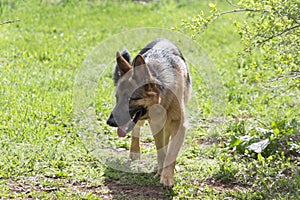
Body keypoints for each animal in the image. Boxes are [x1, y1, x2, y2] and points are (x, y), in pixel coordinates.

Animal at [106, 38, 191, 187]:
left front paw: (167, 176)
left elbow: (172, 150)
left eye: (131, 99)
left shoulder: (179, 124)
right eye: (117, 98)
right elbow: (160, 149)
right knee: (136, 130)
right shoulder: (155, 123)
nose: (110, 122)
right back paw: (135, 151)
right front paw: (161, 172)